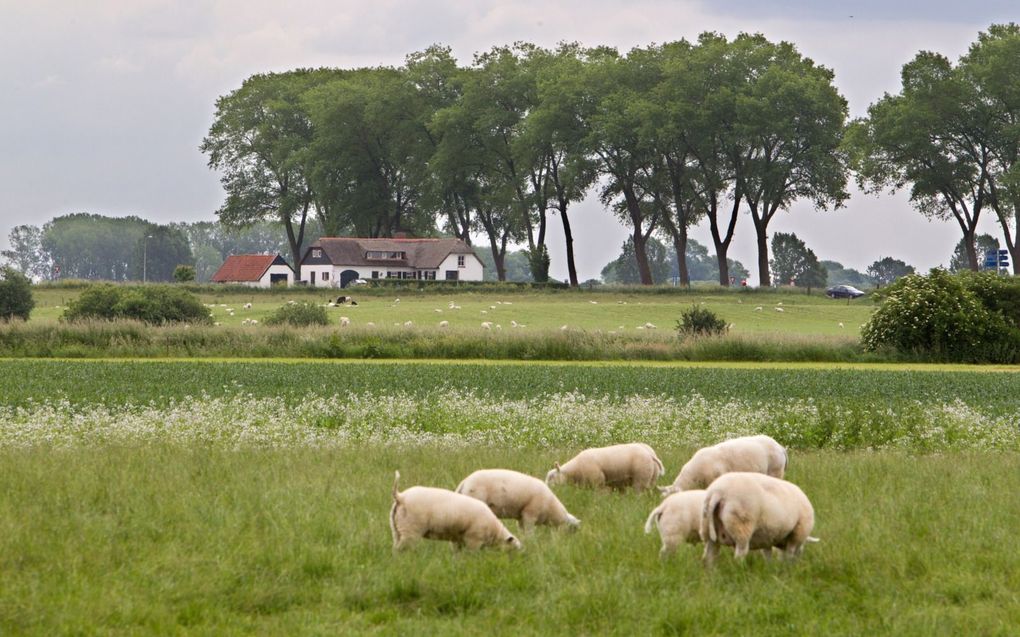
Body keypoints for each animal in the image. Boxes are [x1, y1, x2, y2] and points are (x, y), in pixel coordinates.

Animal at [387, 468, 522, 550]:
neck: (494, 530)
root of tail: (400, 496)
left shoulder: (458, 540)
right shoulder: (473, 539)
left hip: (396, 529)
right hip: (411, 529)